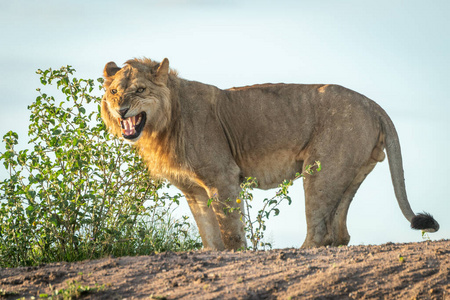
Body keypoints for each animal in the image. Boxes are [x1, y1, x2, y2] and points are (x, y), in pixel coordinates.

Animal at [99, 57, 440, 250]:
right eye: (114, 91)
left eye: (140, 90)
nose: (121, 109)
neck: (163, 125)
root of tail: (374, 104)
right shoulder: (193, 190)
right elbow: (208, 233)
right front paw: (211, 254)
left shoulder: (222, 176)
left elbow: (230, 229)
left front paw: (235, 254)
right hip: (351, 172)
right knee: (340, 231)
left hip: (321, 170)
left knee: (320, 228)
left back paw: (301, 250)